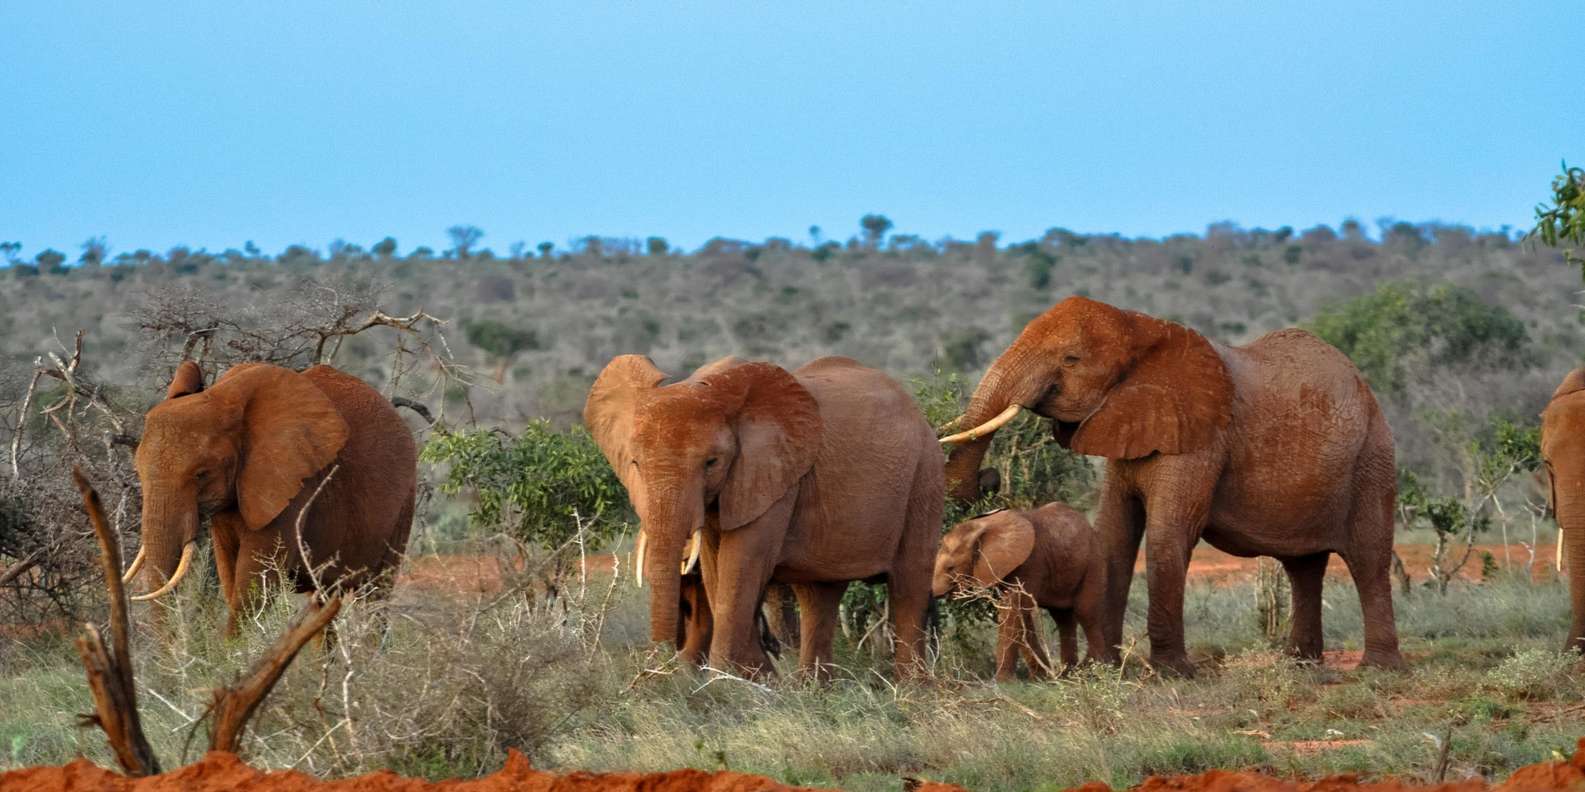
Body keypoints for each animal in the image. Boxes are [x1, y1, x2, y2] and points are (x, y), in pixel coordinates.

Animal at [129, 361, 418, 630]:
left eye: (201, 474)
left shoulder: (292, 488)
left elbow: (255, 585)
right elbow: (229, 575)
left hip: (405, 503)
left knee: (375, 597)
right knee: (322, 602)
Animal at [592, 356, 938, 677]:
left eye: (711, 462)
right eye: (634, 463)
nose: (656, 672)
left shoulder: (775, 474)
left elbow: (741, 563)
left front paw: (727, 681)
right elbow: (716, 570)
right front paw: (757, 677)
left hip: (924, 473)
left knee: (909, 583)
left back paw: (911, 689)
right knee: (819, 594)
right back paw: (812, 689)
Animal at [925, 503, 1115, 677]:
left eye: (950, 568)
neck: (983, 525)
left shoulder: (1030, 562)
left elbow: (1014, 610)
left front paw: (1003, 683)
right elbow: (1020, 614)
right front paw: (1041, 678)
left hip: (1094, 561)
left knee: (1086, 611)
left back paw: (1094, 669)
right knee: (1063, 618)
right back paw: (1068, 673)